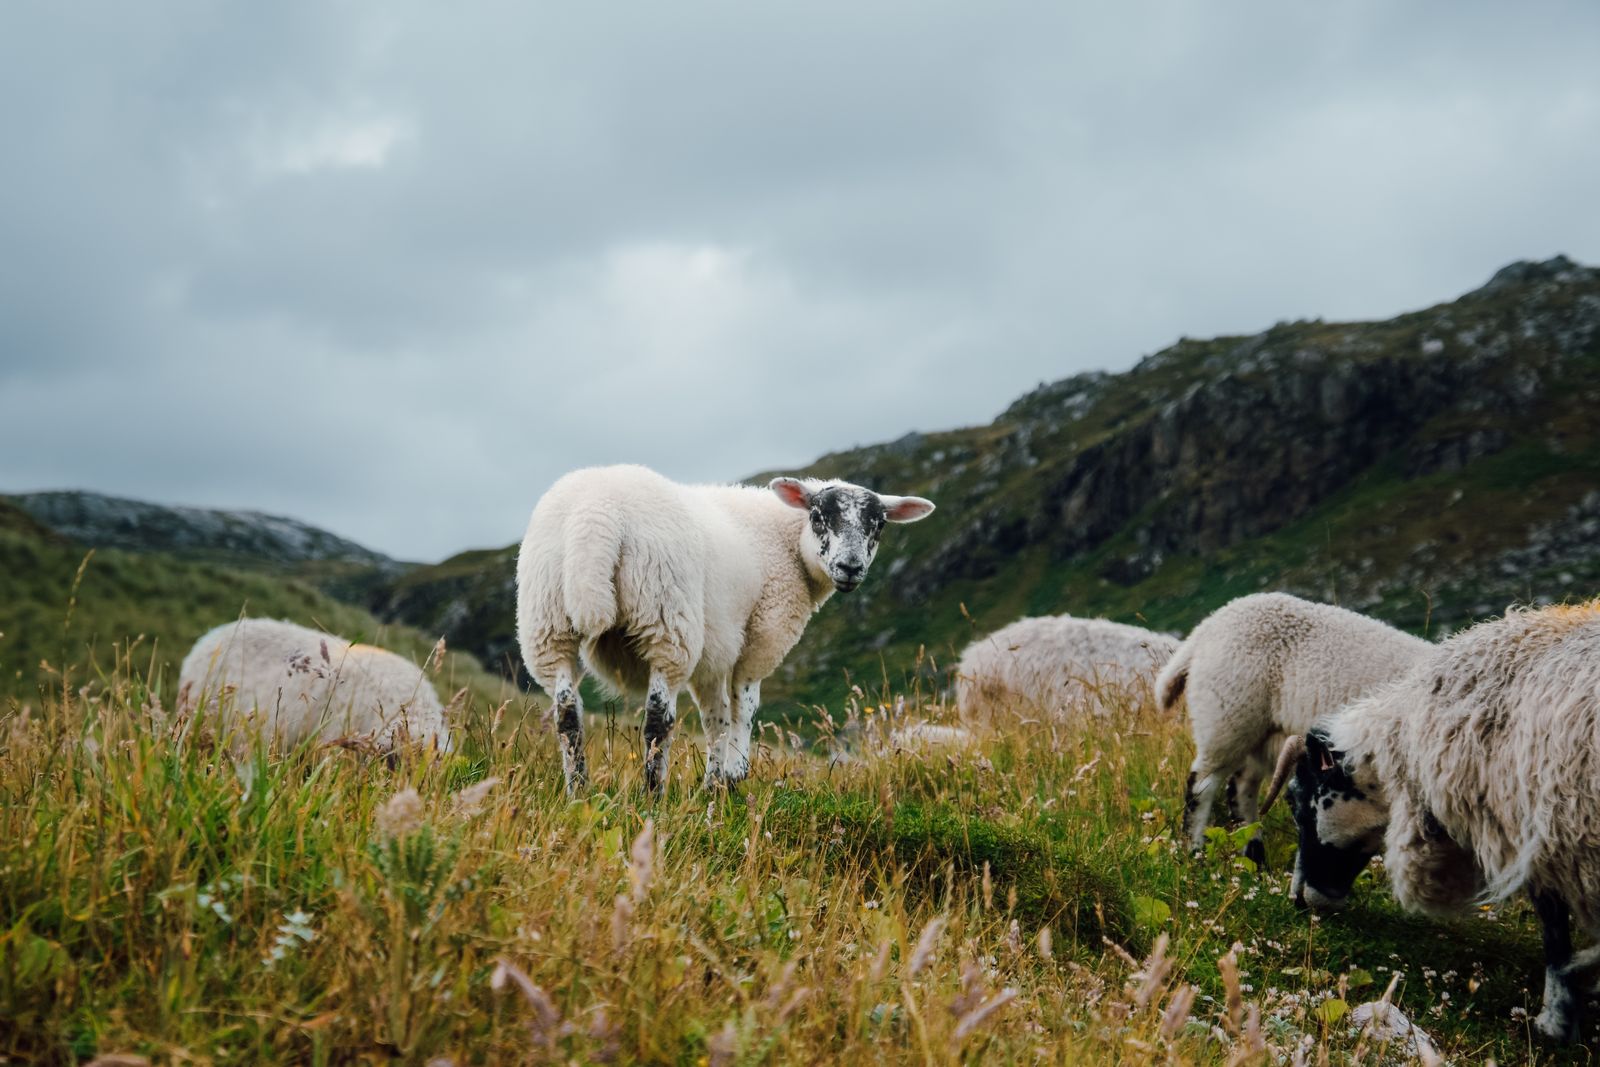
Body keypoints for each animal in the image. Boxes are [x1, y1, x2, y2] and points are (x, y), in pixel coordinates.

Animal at [515, 464, 935, 795]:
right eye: (818, 516)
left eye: (878, 525)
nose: (850, 568)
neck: (786, 541)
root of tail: (596, 515)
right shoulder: (761, 635)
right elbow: (744, 707)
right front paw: (735, 775)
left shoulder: (715, 649)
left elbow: (715, 718)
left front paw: (714, 782)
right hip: (666, 619)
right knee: (657, 719)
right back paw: (653, 796)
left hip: (548, 623)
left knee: (567, 714)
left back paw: (578, 792)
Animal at [1156, 592, 1430, 865]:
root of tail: (1207, 626)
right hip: (1228, 715)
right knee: (1202, 784)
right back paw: (1195, 852)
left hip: (1262, 731)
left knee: (1242, 786)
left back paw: (1254, 857)